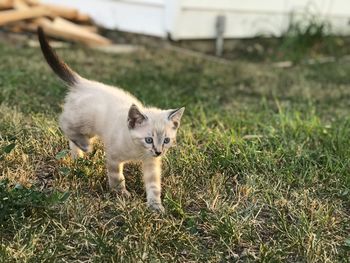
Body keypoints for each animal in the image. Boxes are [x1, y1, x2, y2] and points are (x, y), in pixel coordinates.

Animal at [37, 27, 186, 213]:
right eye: (148, 140)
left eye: (166, 140)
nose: (159, 151)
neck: (138, 152)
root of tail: (83, 83)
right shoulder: (114, 157)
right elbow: (117, 177)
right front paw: (121, 194)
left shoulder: (151, 163)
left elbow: (154, 186)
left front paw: (155, 206)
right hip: (84, 123)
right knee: (64, 124)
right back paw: (85, 147)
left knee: (72, 138)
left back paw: (78, 157)